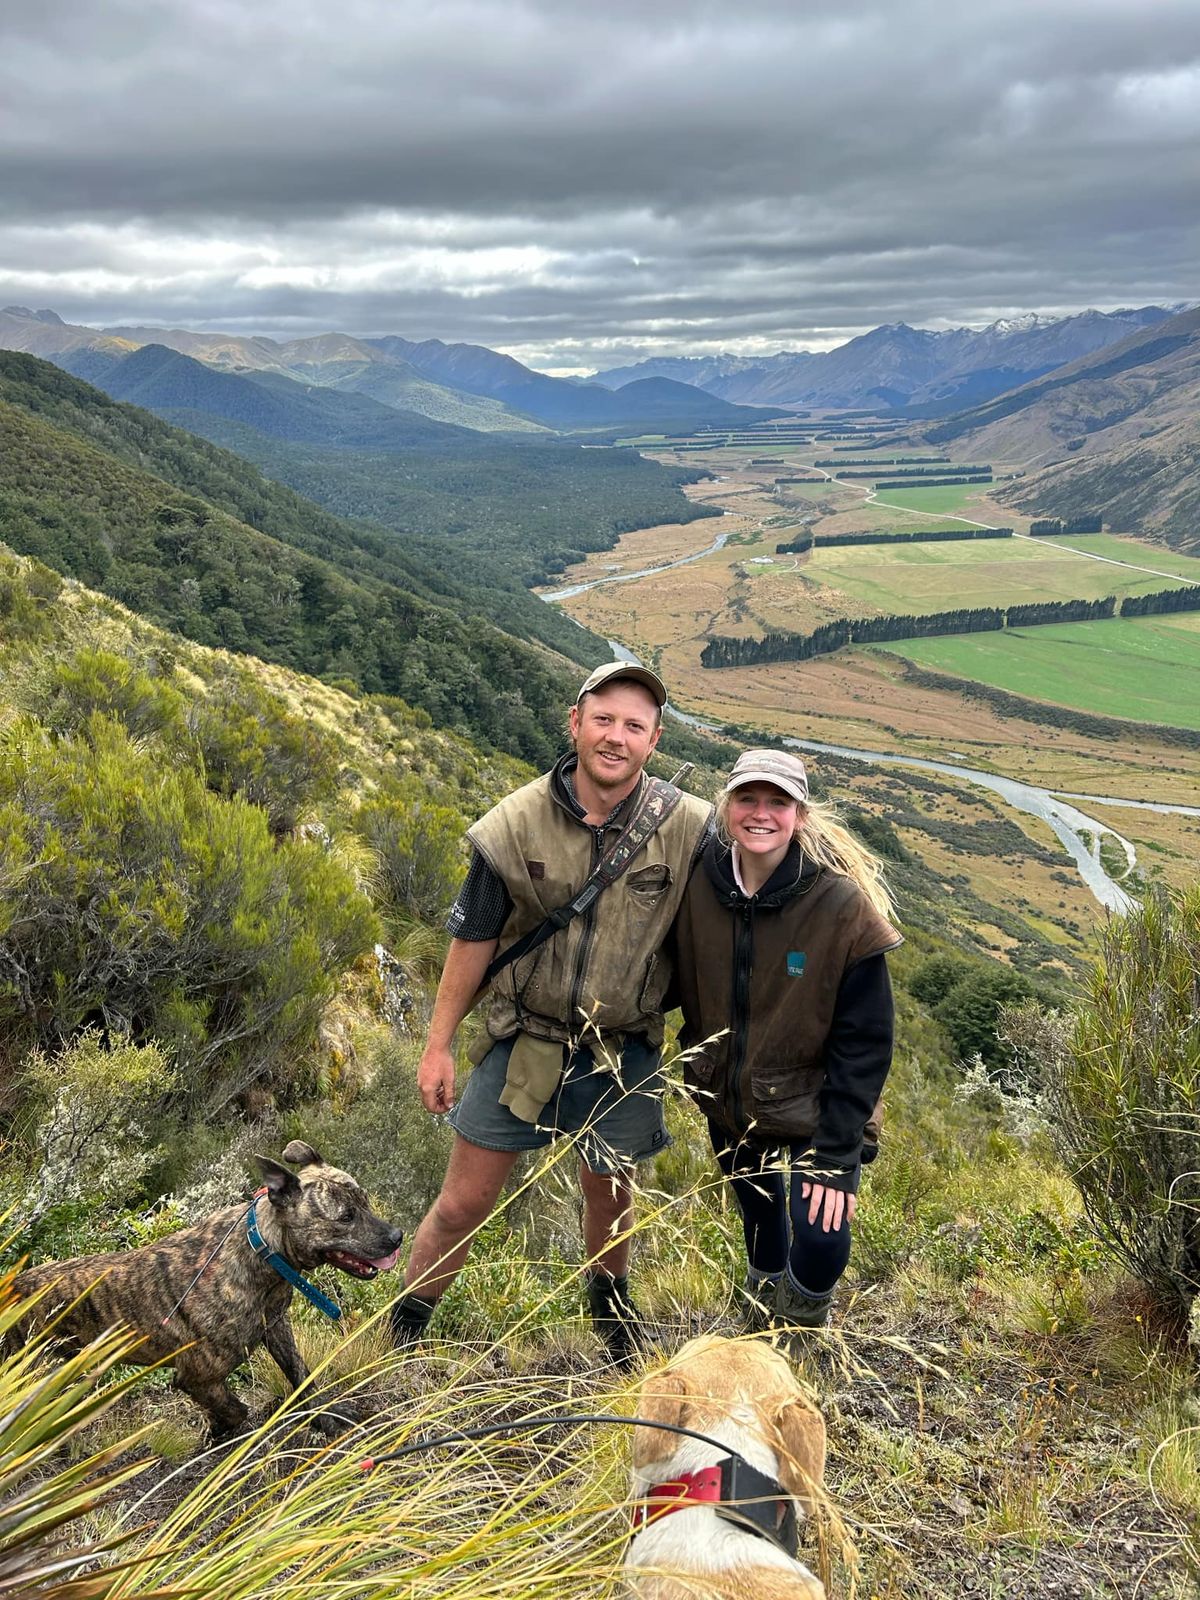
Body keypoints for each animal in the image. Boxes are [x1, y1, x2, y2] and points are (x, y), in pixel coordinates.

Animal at [10, 1139, 404, 1440]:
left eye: (366, 1201)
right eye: (346, 1217)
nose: (397, 1236)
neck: (260, 1252)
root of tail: (12, 1286)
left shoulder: (276, 1326)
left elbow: (301, 1375)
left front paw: (325, 1418)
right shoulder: (197, 1376)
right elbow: (235, 1409)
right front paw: (218, 1431)